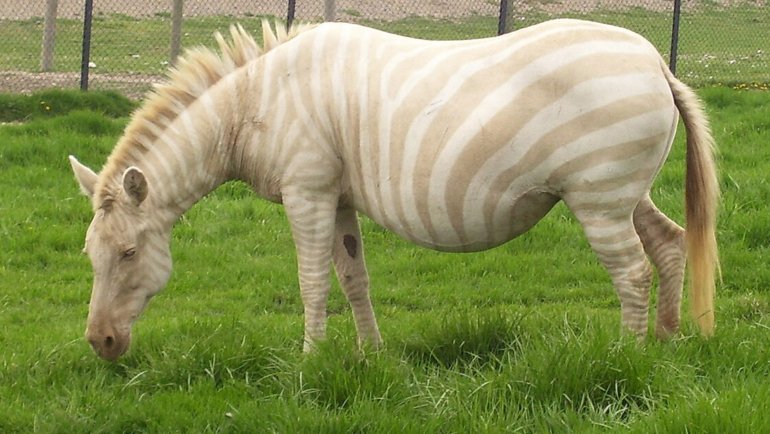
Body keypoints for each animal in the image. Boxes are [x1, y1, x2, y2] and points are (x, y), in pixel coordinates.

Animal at [69, 19, 718, 361]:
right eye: (89, 256)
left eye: (128, 253)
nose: (100, 343)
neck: (253, 105)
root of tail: (655, 60)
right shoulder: (337, 198)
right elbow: (353, 278)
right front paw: (370, 356)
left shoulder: (307, 190)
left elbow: (311, 281)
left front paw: (309, 361)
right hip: (622, 194)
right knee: (669, 244)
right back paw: (665, 343)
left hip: (598, 199)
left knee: (631, 270)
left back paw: (626, 357)